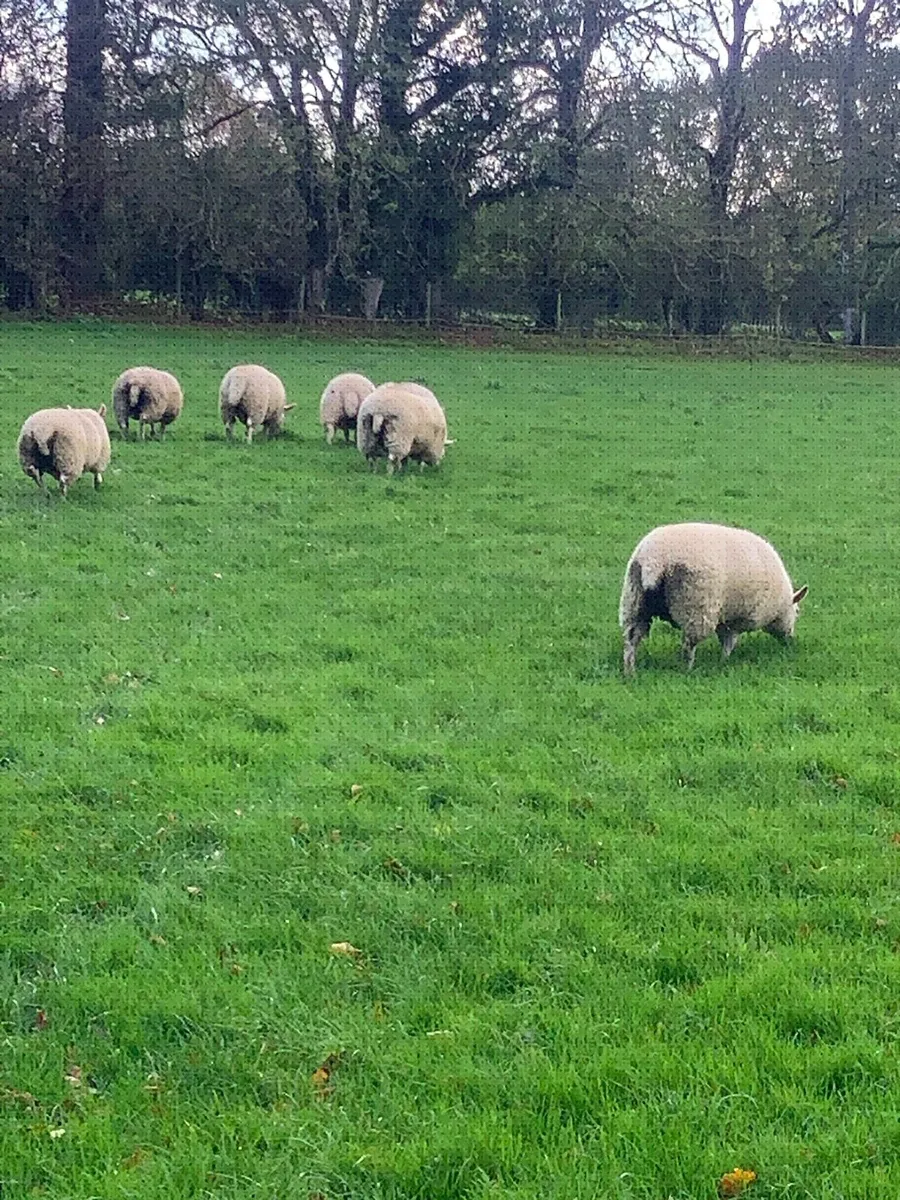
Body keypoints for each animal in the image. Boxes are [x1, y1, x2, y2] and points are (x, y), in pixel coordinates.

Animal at [619, 522, 808, 675]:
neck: (780, 604)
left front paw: (723, 661)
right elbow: (729, 641)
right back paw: (687, 669)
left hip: (634, 600)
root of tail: (654, 560)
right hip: (695, 606)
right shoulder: (736, 618)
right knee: (688, 644)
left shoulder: (725, 616)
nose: (790, 641)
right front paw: (724, 661)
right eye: (797, 612)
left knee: (631, 639)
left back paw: (630, 671)